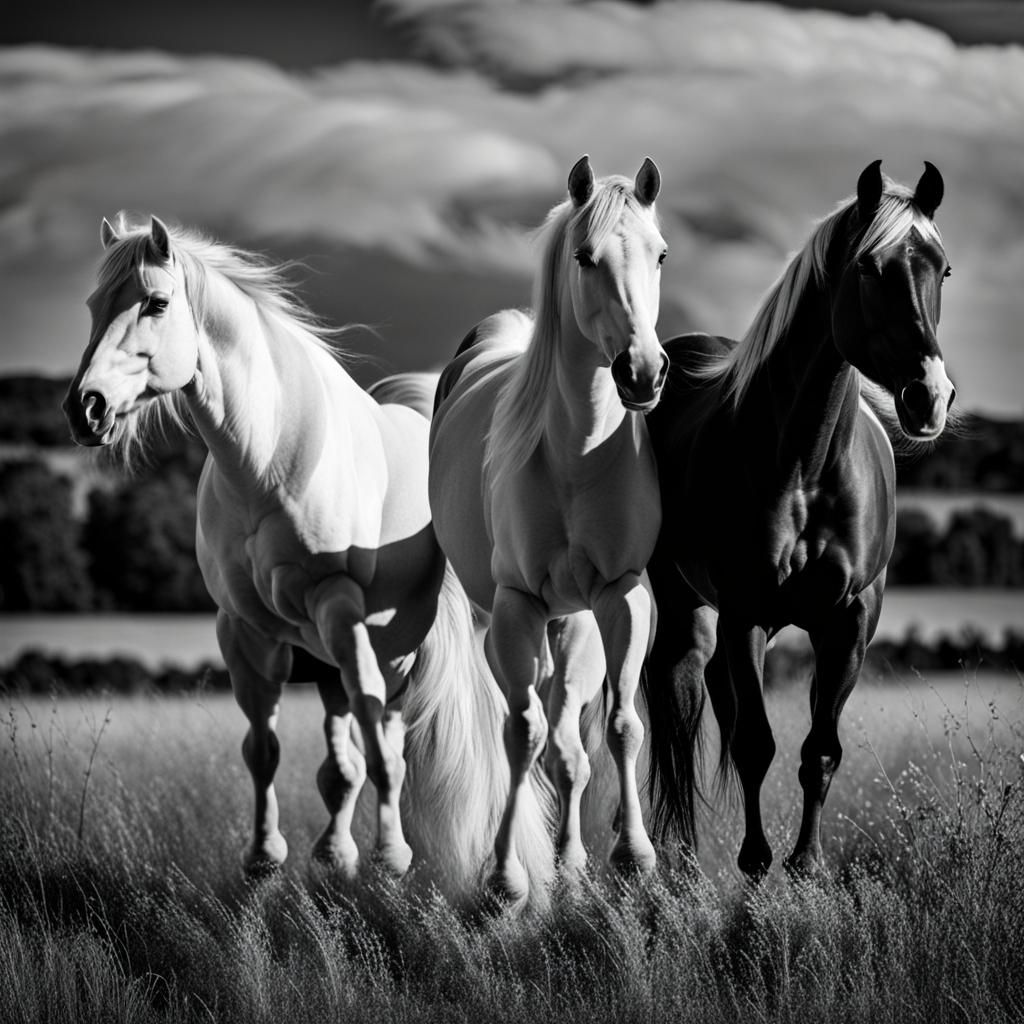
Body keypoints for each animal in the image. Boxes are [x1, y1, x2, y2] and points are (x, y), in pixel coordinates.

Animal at [62, 214, 554, 892]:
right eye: (91, 306)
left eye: (156, 303)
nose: (85, 408)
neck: (268, 461)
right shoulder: (243, 629)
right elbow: (264, 749)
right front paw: (264, 857)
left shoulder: (340, 611)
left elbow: (377, 750)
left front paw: (391, 857)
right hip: (327, 660)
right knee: (343, 760)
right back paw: (335, 854)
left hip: (387, 650)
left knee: (386, 739)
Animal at [429, 155, 669, 903]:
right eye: (585, 257)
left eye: (659, 254)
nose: (643, 372)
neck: (576, 453)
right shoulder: (517, 608)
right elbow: (521, 737)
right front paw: (505, 879)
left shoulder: (622, 596)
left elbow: (621, 727)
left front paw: (633, 856)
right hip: (519, 623)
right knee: (531, 732)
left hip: (576, 624)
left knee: (570, 748)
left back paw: (572, 863)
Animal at [642, 160, 956, 878]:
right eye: (869, 267)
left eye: (944, 268)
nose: (929, 396)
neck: (808, 466)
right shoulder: (745, 613)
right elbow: (756, 743)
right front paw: (757, 862)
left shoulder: (850, 623)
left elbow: (820, 749)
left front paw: (806, 864)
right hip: (684, 604)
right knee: (679, 706)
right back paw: (682, 862)